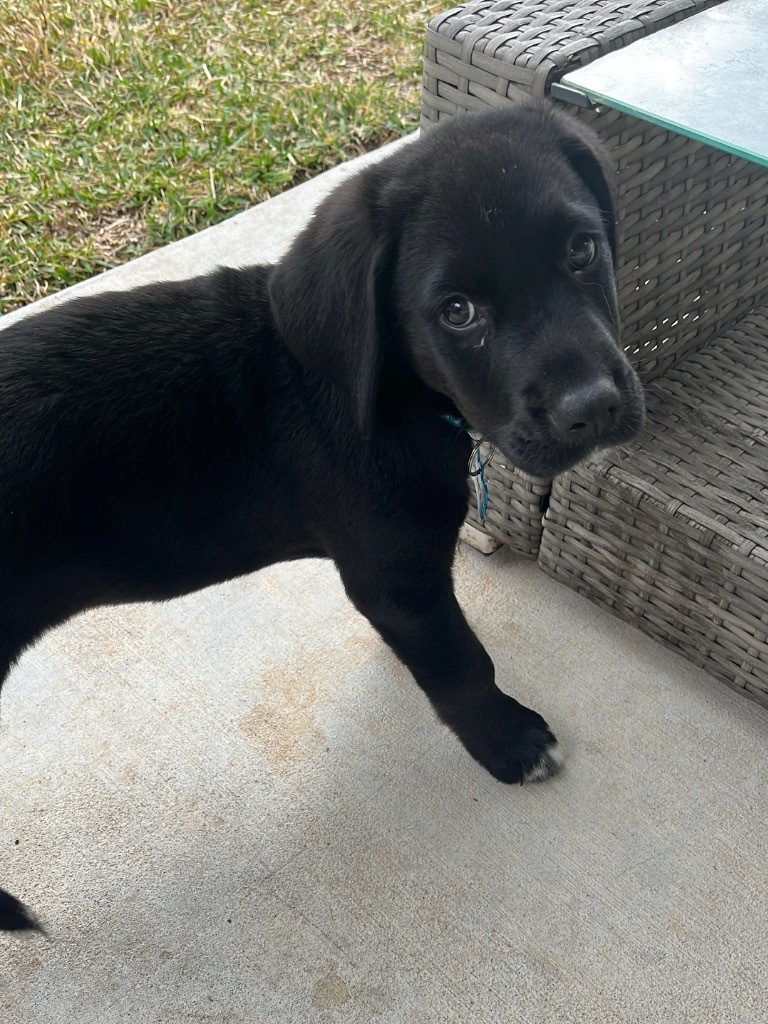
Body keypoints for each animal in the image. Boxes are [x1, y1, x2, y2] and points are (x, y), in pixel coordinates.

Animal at [0, 101, 647, 929]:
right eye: (458, 312)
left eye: (581, 249)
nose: (591, 408)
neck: (393, 395)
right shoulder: (396, 578)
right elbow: (462, 662)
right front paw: (507, 742)